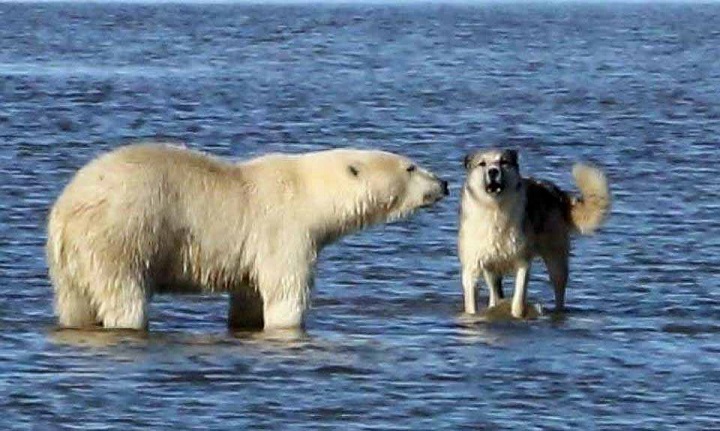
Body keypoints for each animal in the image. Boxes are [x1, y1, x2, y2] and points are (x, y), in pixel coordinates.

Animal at [46, 144, 444, 330]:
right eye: (410, 167)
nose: (443, 183)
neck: (308, 192)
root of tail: (66, 210)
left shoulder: (252, 252)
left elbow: (249, 296)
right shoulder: (283, 230)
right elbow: (286, 291)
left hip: (69, 261)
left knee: (76, 302)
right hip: (121, 236)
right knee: (123, 296)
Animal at [462, 150, 608, 318]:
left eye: (504, 162)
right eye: (482, 164)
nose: (493, 171)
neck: (494, 209)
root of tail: (555, 191)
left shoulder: (522, 262)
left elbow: (518, 300)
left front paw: (517, 315)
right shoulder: (473, 266)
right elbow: (472, 301)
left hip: (556, 257)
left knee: (559, 288)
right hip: (492, 270)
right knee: (494, 291)